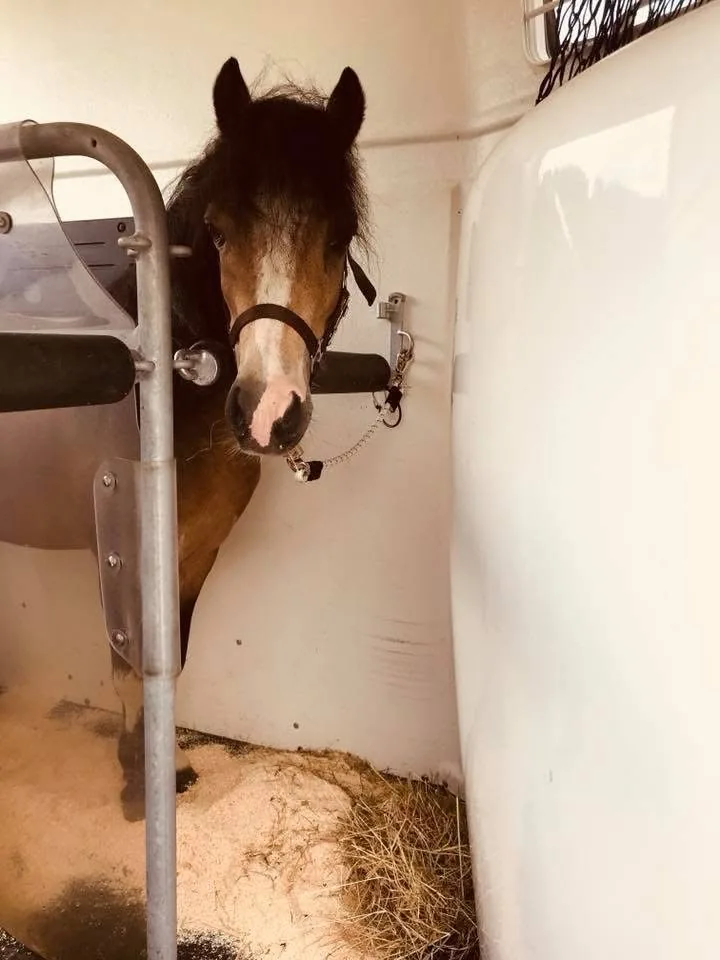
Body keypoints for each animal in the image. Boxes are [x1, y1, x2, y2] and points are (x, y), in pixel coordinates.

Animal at [109, 57, 373, 821]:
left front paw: (164, 771)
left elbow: (170, 658)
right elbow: (131, 663)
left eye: (340, 236)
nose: (267, 411)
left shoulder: (194, 556)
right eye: (219, 234)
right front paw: (136, 788)